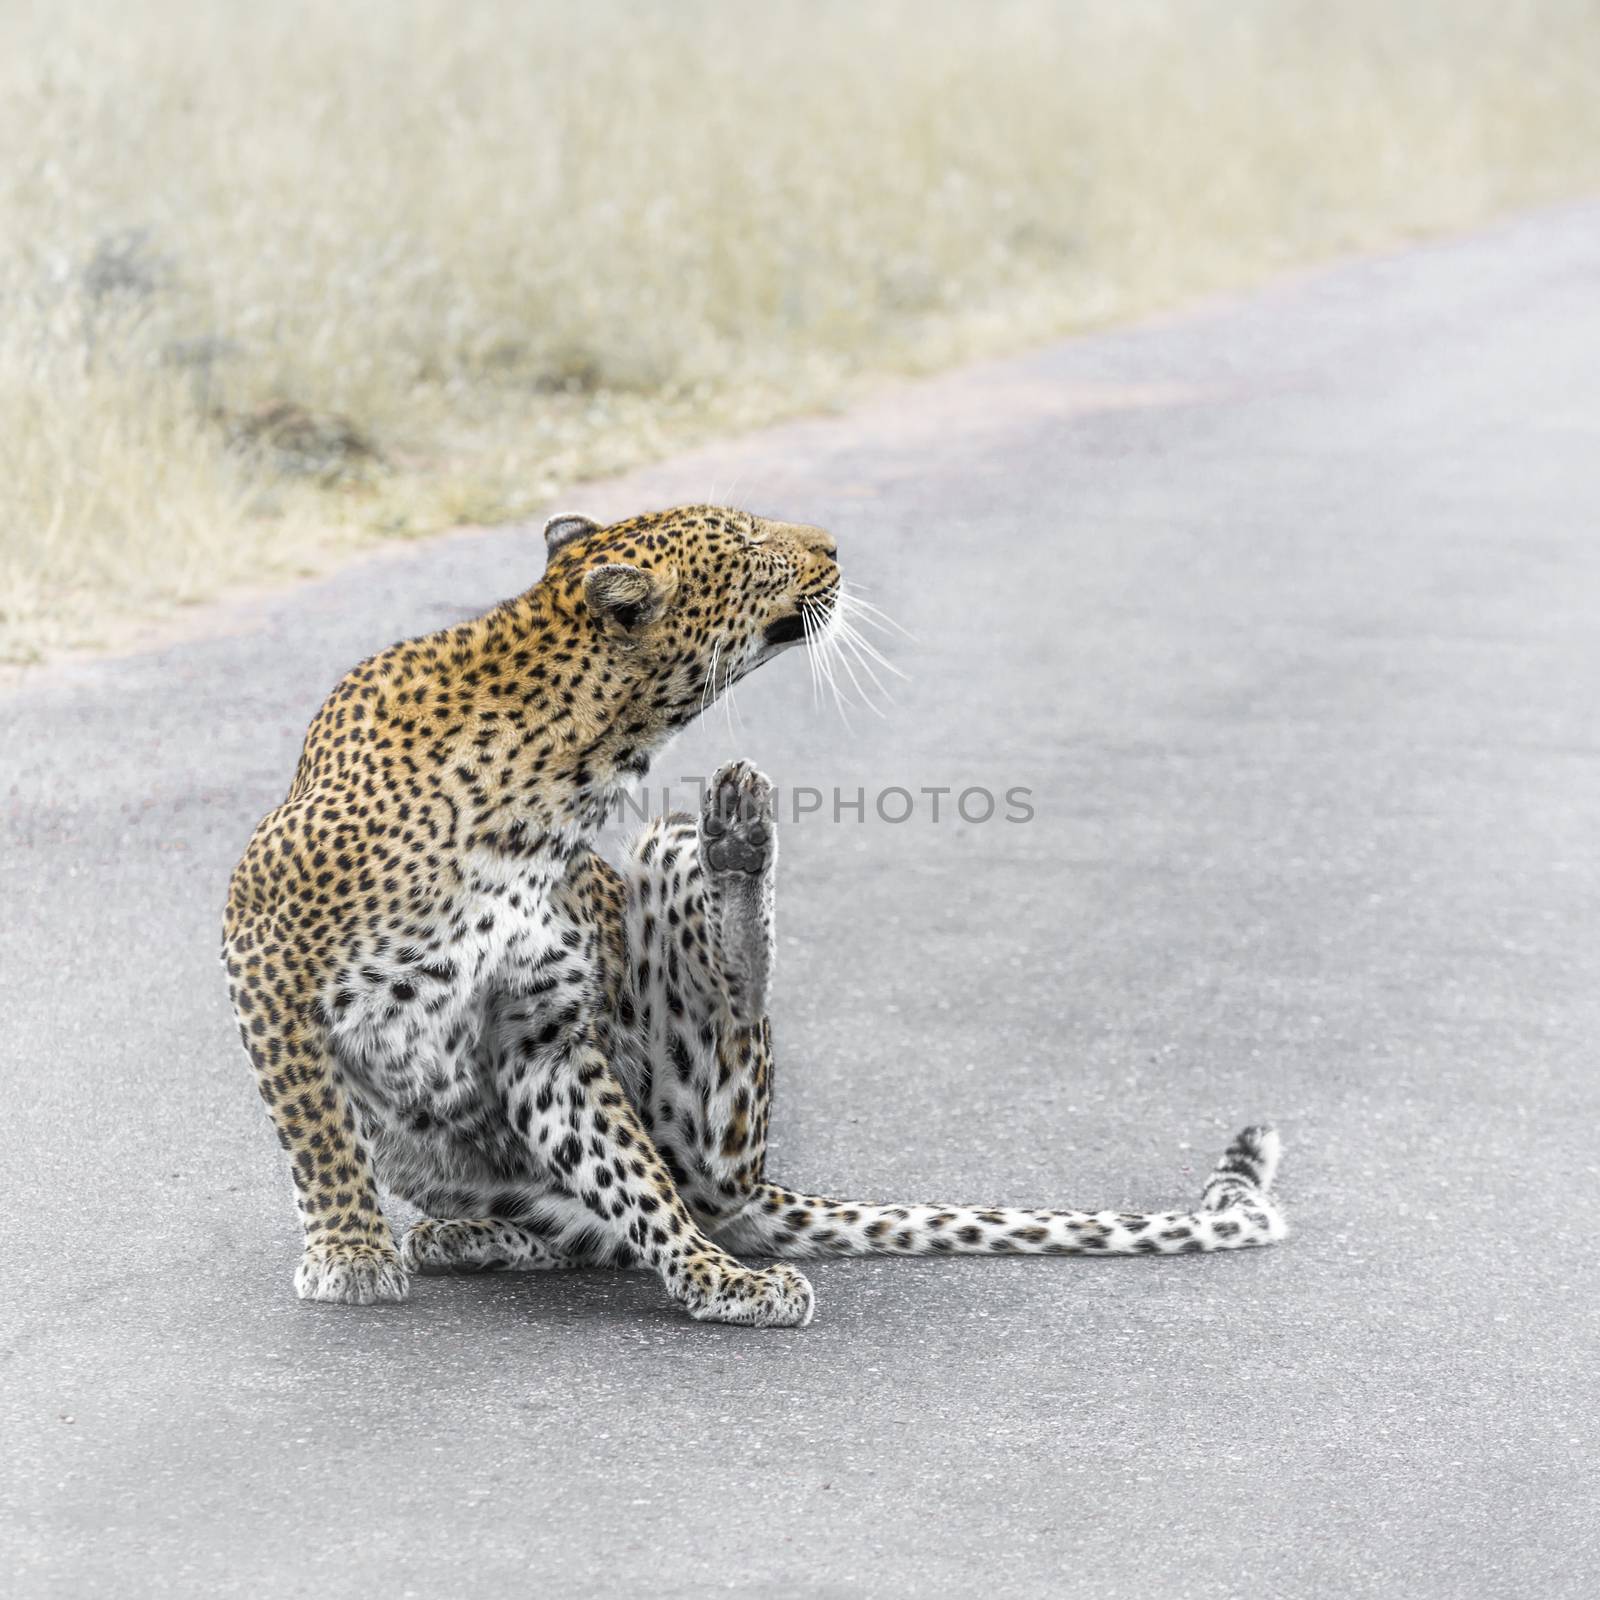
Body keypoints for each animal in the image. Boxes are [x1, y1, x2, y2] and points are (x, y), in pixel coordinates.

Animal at [222, 502, 1286, 1324]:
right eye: (749, 542)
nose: (833, 546)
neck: (569, 779)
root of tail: (750, 1190)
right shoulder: (267, 951)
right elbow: (317, 1127)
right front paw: (352, 1253)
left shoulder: (543, 1036)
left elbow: (629, 1169)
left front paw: (712, 1280)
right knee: (579, 1225)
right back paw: (463, 1236)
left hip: (683, 969)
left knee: (701, 1113)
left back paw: (737, 839)